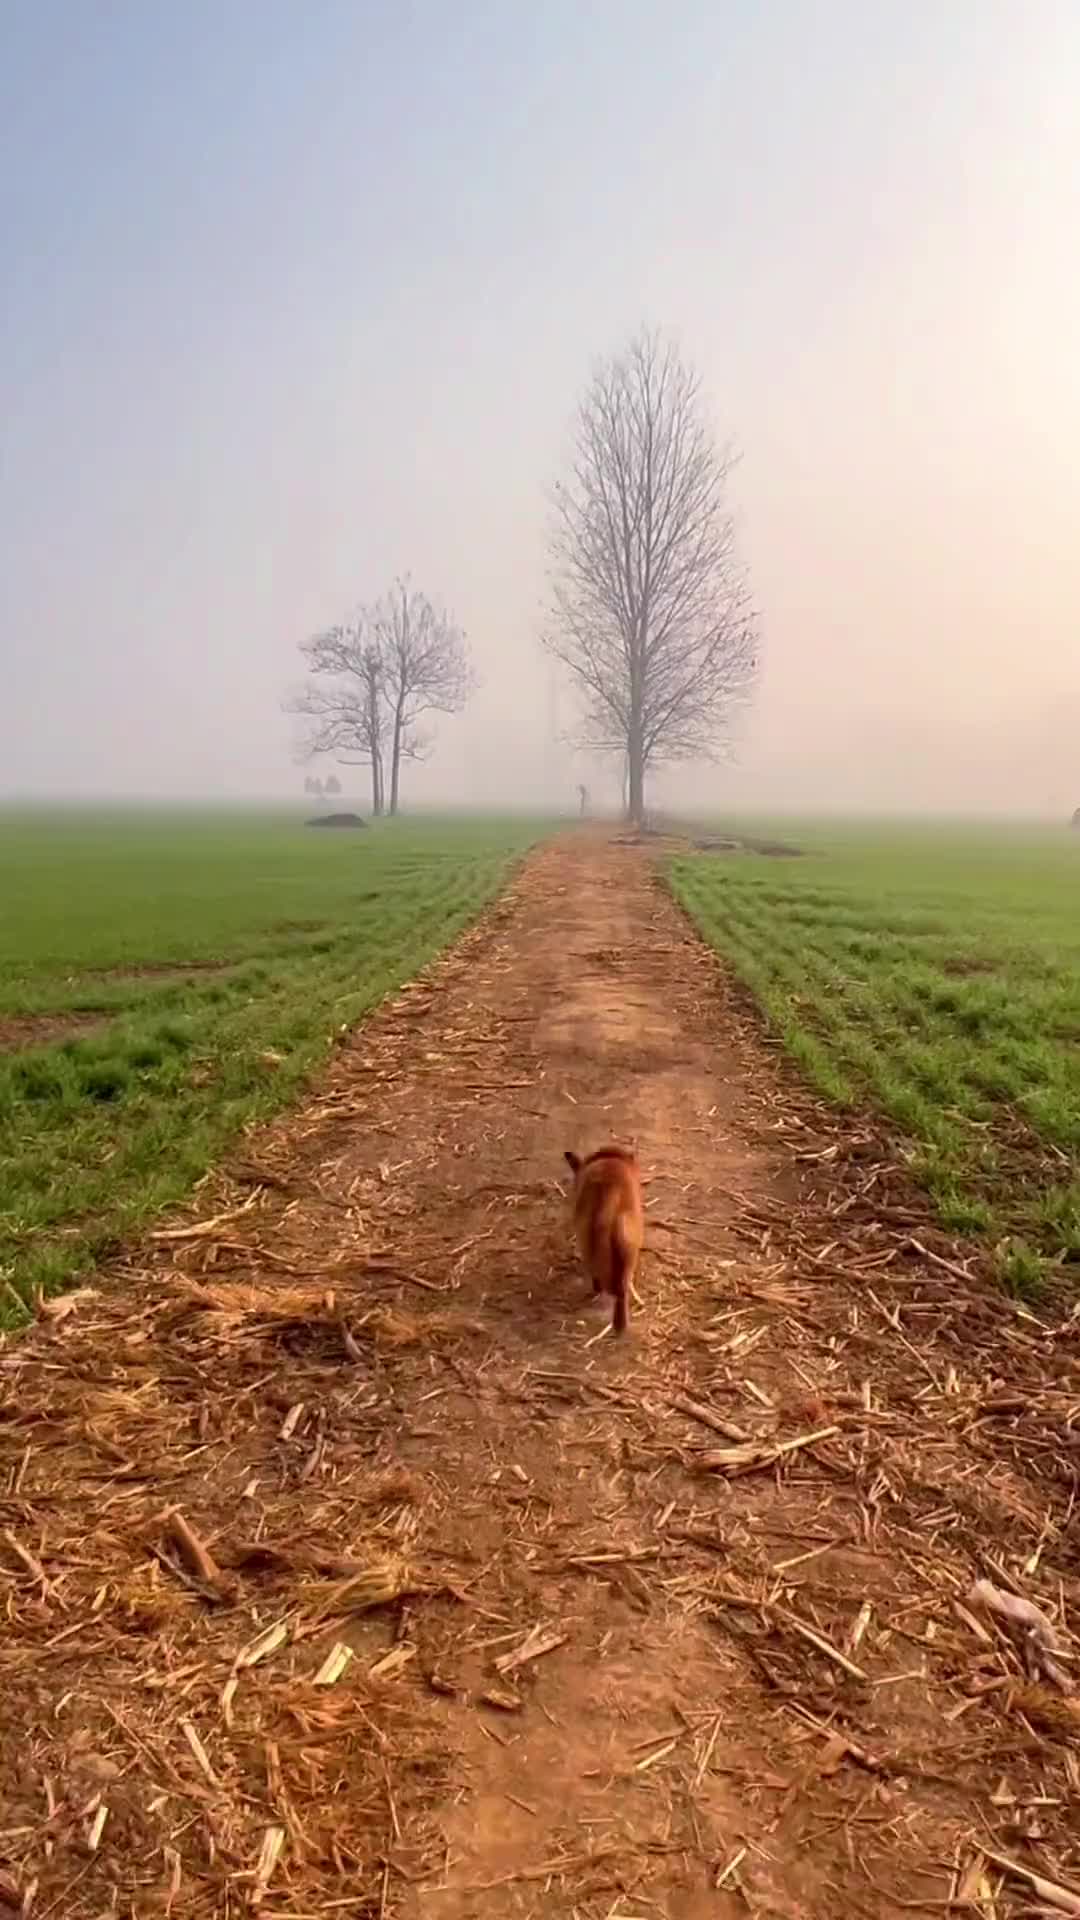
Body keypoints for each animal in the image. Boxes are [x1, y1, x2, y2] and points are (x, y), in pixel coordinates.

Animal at [557, 1136, 641, 1336]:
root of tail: (612, 1190)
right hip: (627, 1244)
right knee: (622, 1290)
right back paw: (620, 1326)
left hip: (591, 1243)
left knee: (601, 1278)